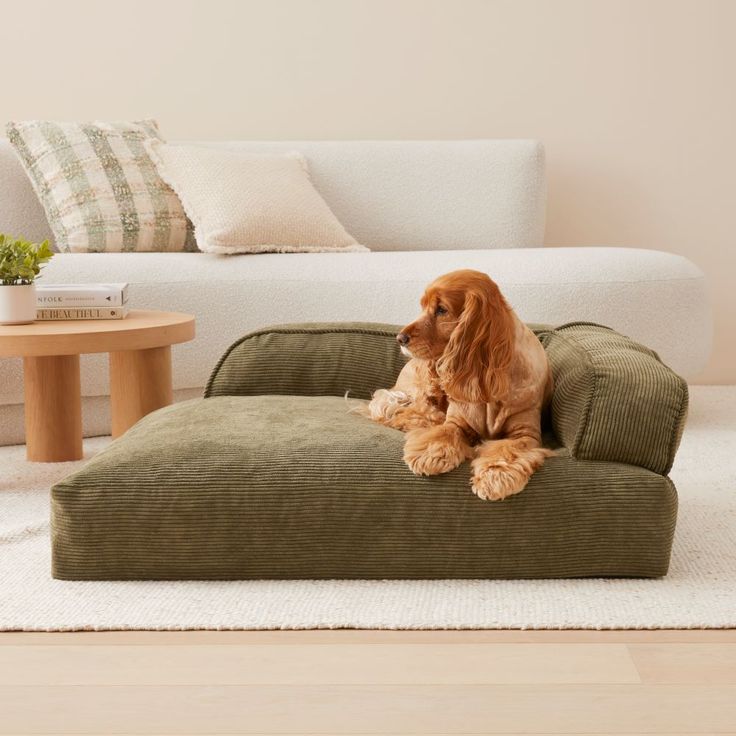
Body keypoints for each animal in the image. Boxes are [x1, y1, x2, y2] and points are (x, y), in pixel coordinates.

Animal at [368, 268, 552, 500]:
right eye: (422, 306)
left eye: (441, 310)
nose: (400, 338)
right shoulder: (456, 420)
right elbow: (443, 432)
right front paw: (429, 455)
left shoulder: (526, 433)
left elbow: (508, 450)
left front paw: (494, 477)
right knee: (408, 412)